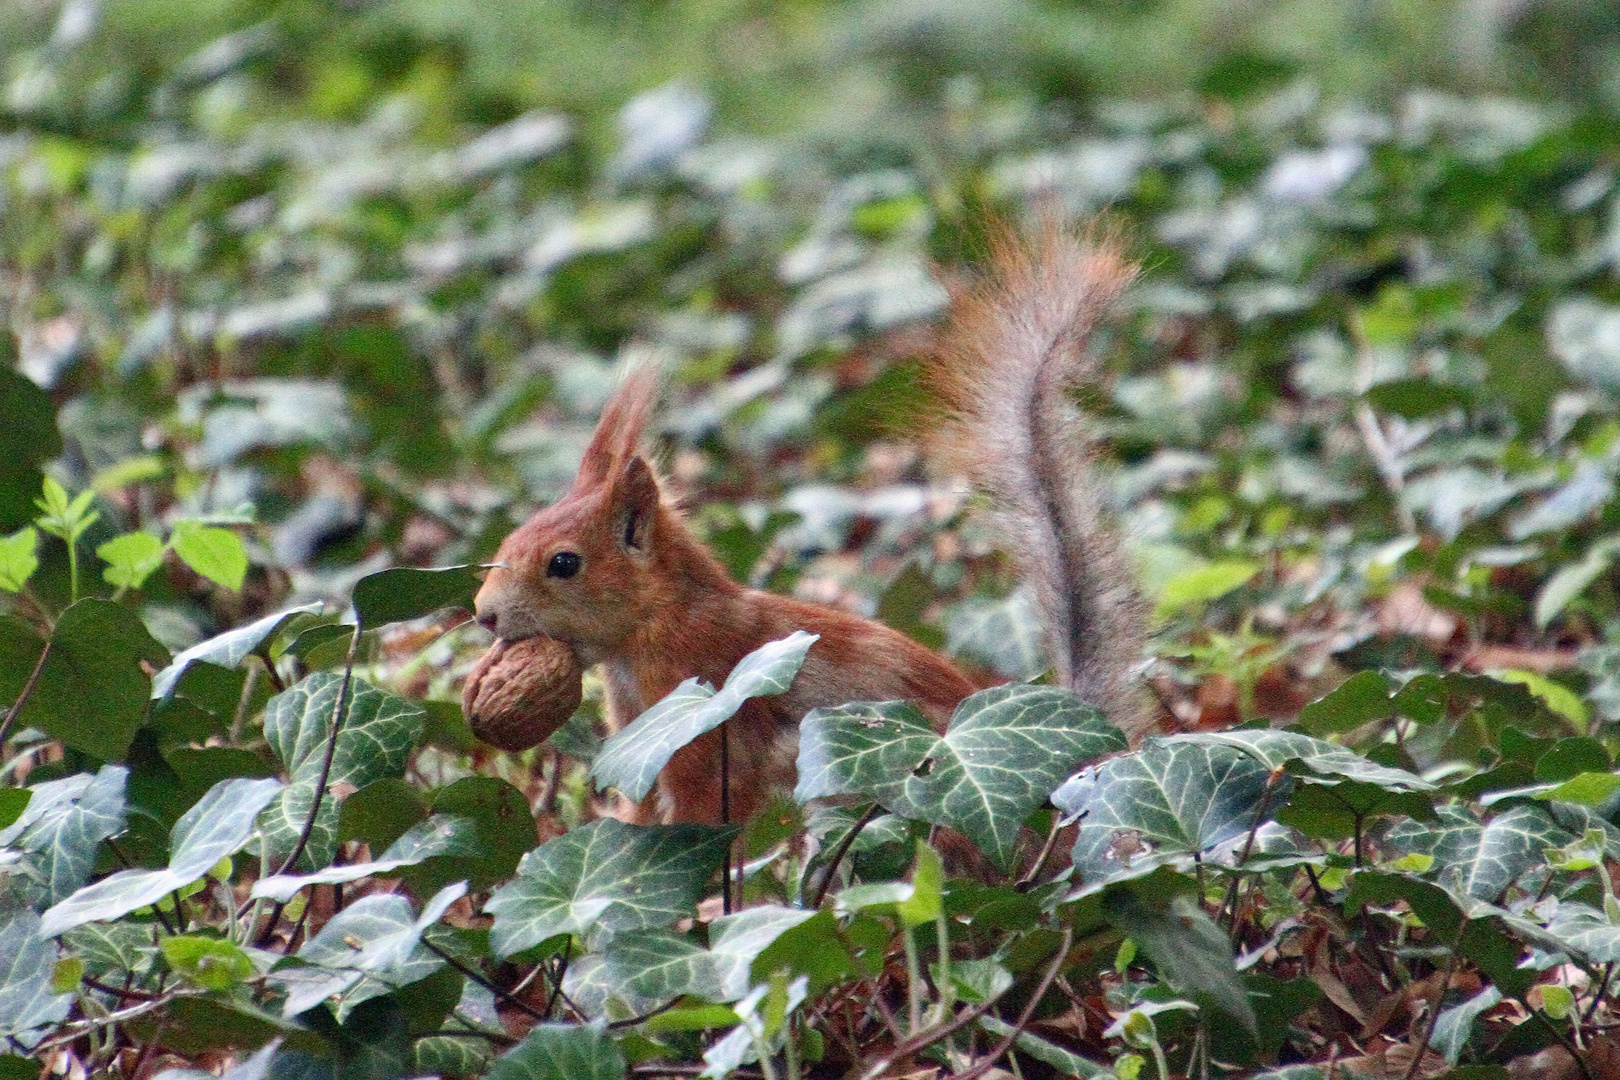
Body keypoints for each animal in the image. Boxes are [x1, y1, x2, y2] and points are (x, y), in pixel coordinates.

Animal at [469, 221, 1153, 829]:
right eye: (509, 539)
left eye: (564, 563)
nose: (484, 615)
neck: (652, 627)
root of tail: (1069, 780)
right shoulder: (637, 745)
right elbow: (636, 813)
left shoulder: (699, 727)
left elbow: (699, 817)